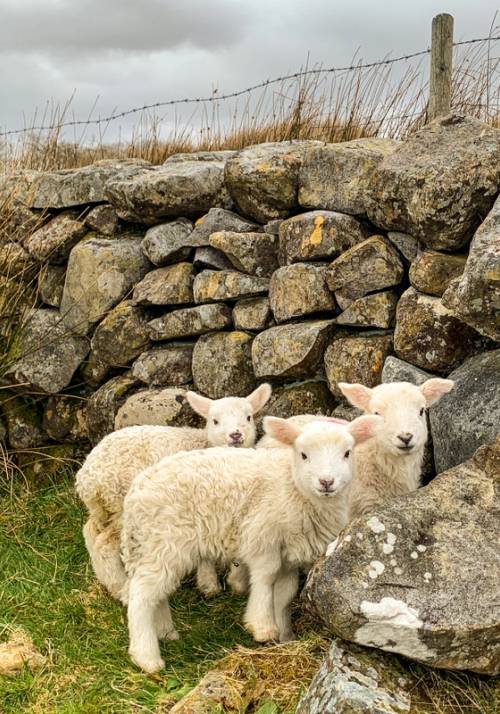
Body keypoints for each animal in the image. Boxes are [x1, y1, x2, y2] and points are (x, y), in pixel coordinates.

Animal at [75, 383, 272, 600]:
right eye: (215, 421)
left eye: (248, 417)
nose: (236, 435)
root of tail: (88, 478)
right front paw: (211, 585)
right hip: (119, 503)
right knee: (105, 543)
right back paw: (121, 588)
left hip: (102, 509)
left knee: (90, 532)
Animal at [120, 414, 382, 673]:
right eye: (303, 454)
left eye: (347, 453)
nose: (326, 482)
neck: (292, 487)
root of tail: (135, 492)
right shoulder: (262, 536)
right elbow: (265, 577)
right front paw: (262, 626)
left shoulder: (289, 553)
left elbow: (285, 594)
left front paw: (285, 637)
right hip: (164, 540)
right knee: (141, 595)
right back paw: (147, 657)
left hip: (155, 546)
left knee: (157, 592)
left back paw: (165, 632)